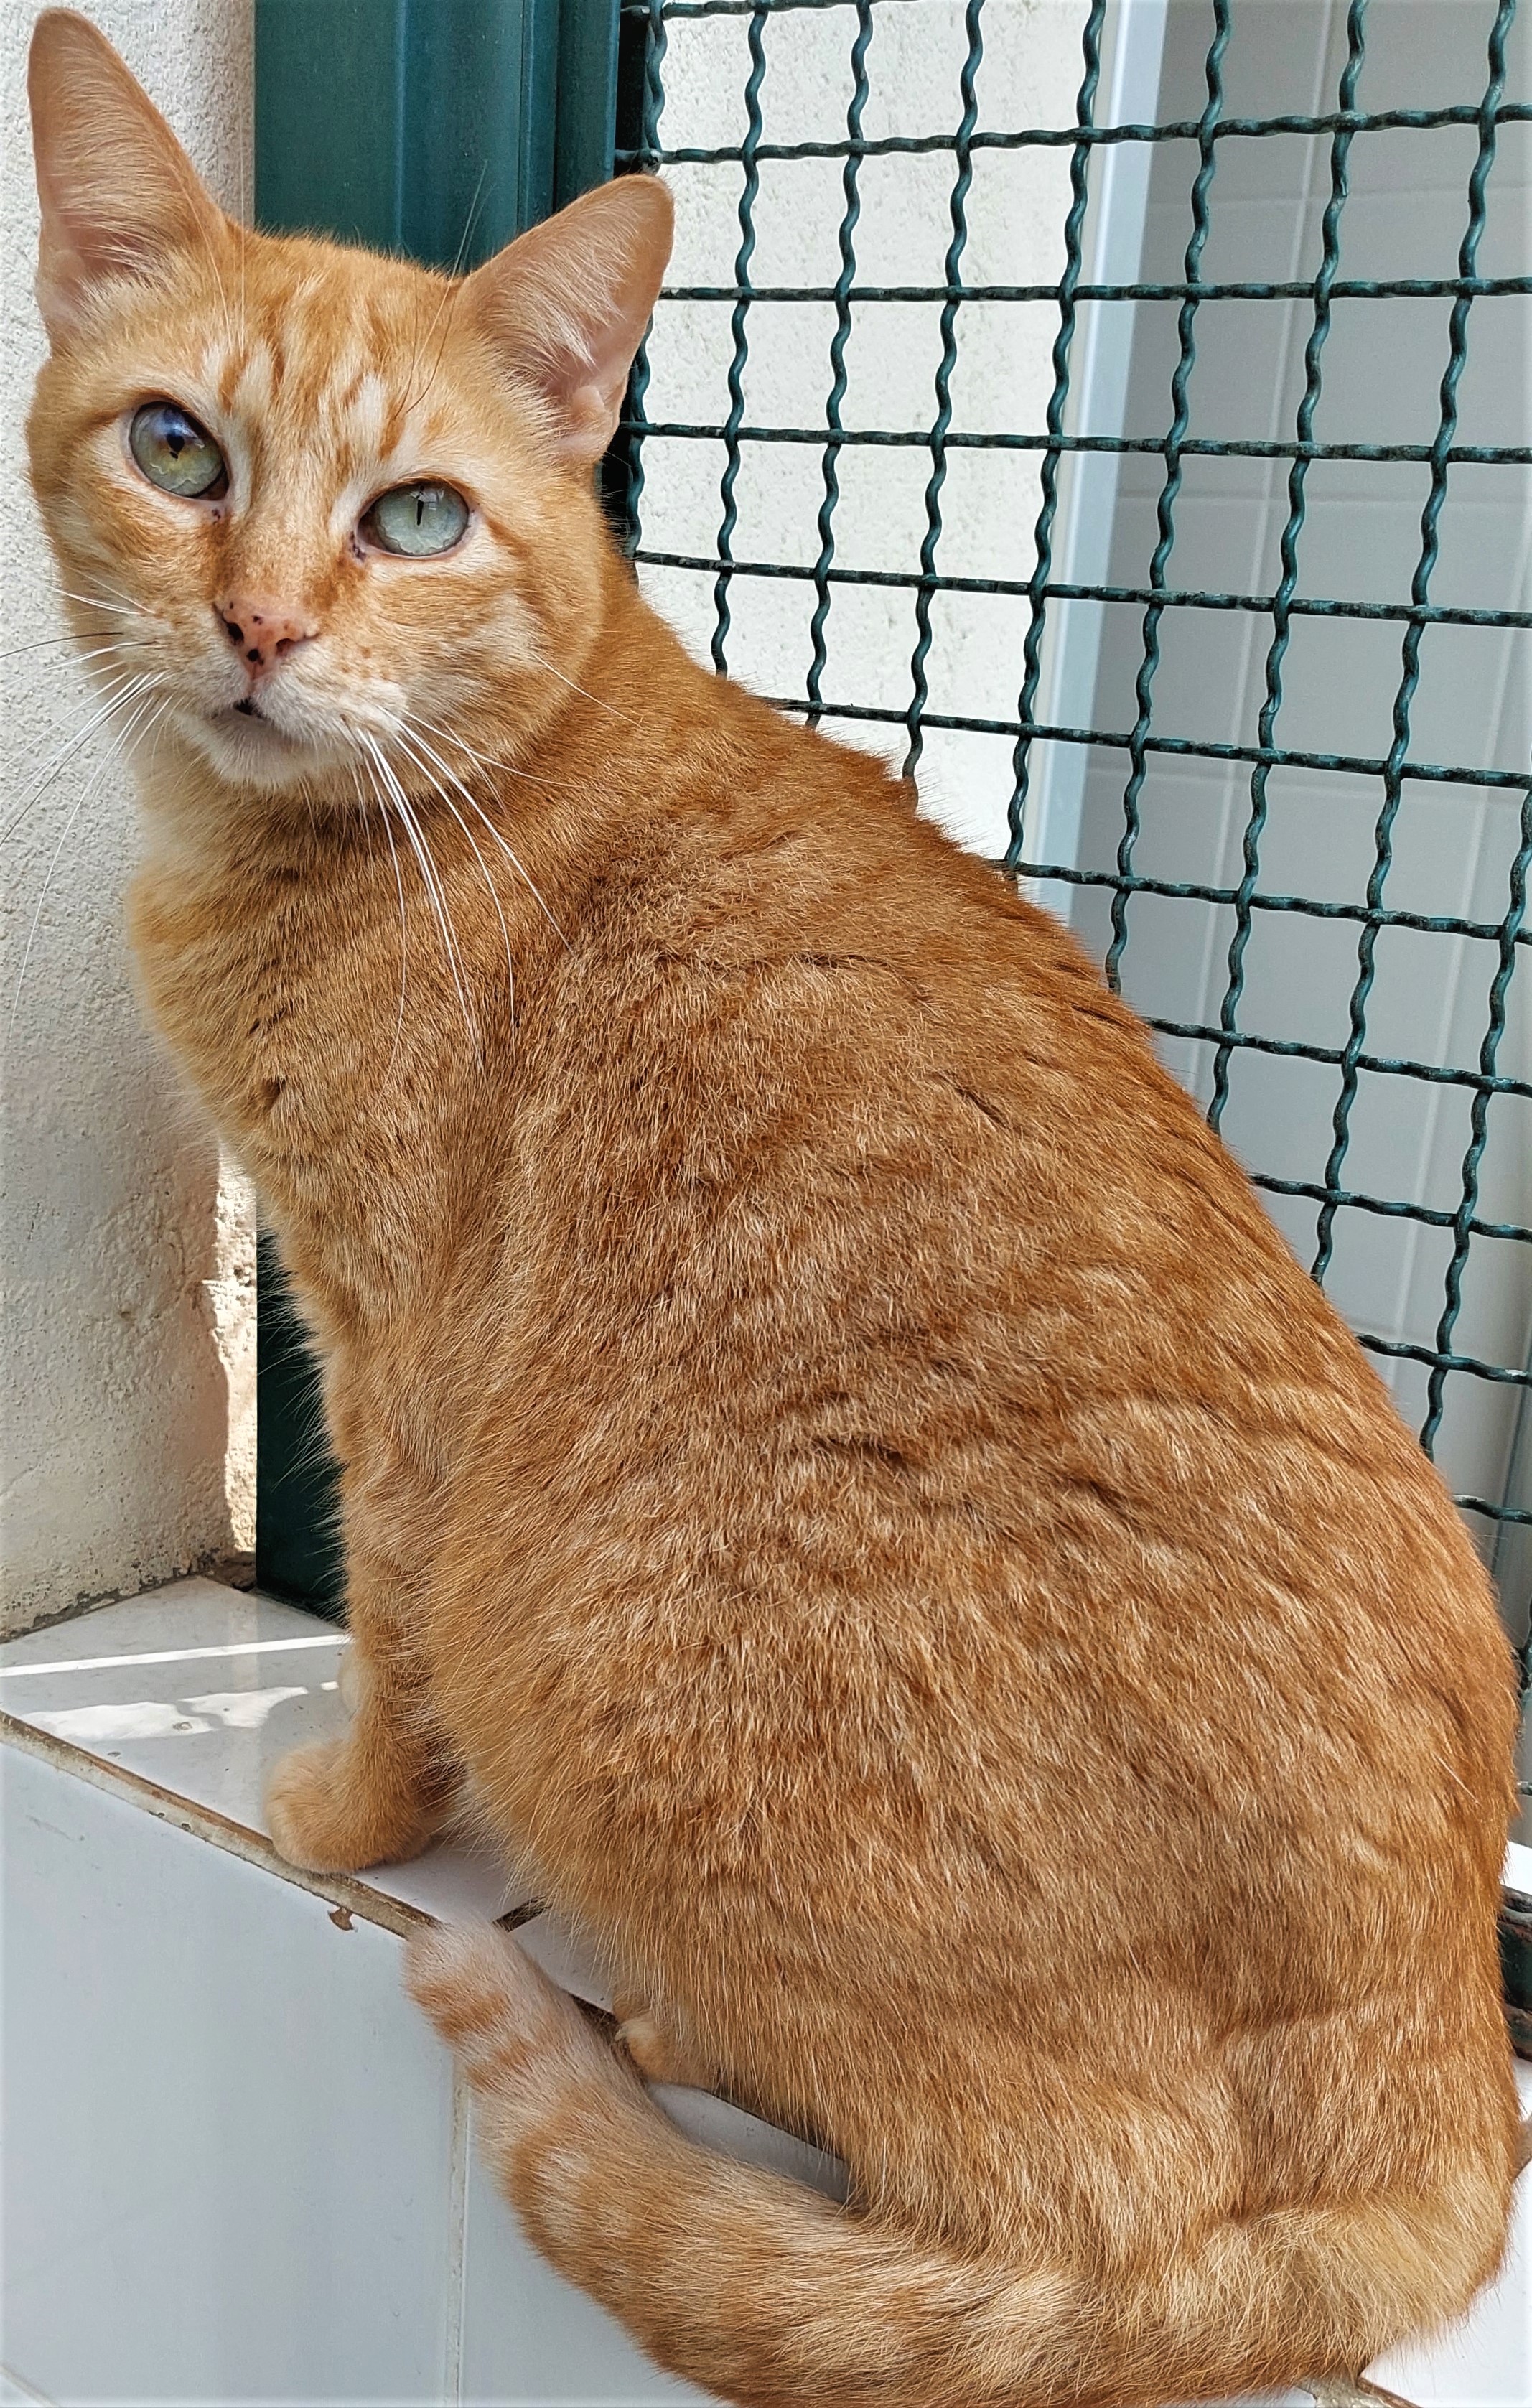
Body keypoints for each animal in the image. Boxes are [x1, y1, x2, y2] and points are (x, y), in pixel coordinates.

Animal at [24, 19, 1522, 2408]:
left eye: (414, 516)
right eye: (178, 449)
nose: (258, 624)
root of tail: (1459, 2081)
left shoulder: (397, 1355)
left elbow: (388, 1633)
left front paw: (348, 1814)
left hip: (574, 1635)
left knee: (1061, 2196)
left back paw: (645, 2020)